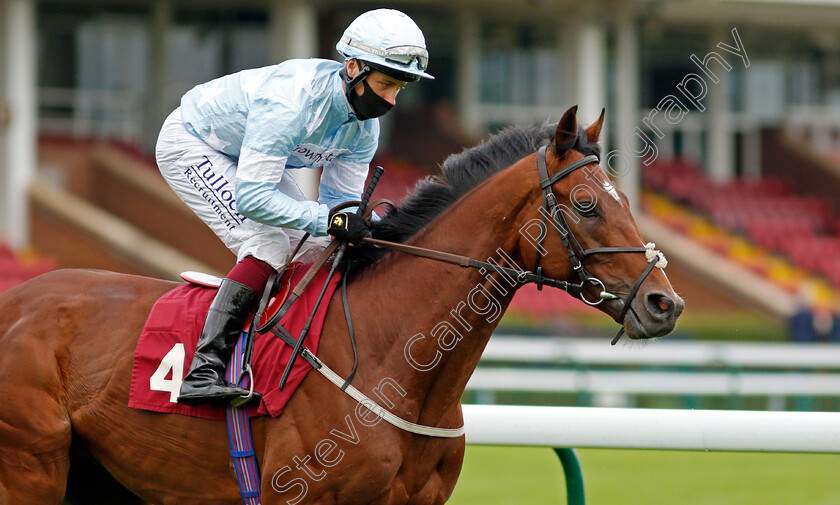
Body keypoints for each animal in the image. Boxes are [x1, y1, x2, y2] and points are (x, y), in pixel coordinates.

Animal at [0, 104, 680, 502]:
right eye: (587, 205)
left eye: (627, 200)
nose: (663, 302)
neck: (393, 363)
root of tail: (19, 298)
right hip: (31, 466)